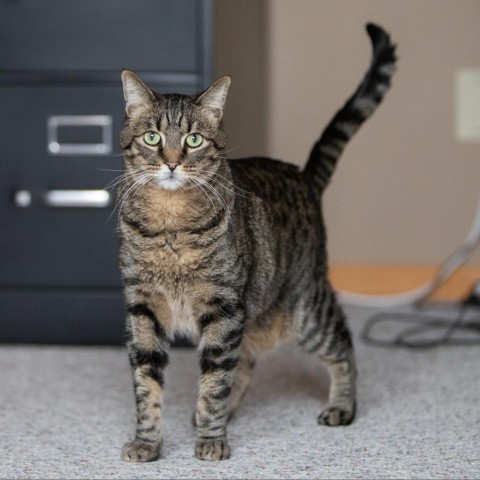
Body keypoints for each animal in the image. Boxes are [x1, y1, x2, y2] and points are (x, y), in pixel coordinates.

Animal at [118, 24, 396, 464]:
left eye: (193, 140)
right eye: (152, 136)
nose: (172, 162)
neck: (169, 225)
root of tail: (304, 176)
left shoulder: (223, 308)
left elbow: (215, 381)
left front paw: (212, 440)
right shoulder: (142, 308)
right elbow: (148, 385)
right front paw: (148, 442)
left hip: (305, 309)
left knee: (342, 344)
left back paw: (342, 405)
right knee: (244, 365)